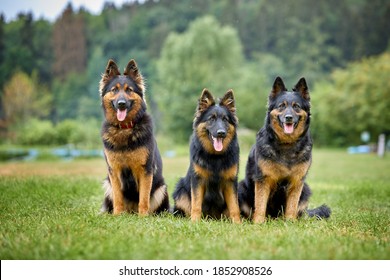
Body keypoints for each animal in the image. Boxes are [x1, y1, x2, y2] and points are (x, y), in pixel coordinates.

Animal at [99, 59, 169, 215]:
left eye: (129, 90)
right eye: (114, 90)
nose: (121, 104)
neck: (125, 128)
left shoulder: (145, 171)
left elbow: (143, 197)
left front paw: (143, 216)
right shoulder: (114, 171)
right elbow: (118, 197)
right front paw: (117, 215)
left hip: (161, 188)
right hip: (107, 184)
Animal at [173, 89, 241, 223]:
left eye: (225, 119)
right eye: (211, 119)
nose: (221, 133)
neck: (215, 157)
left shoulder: (230, 182)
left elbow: (234, 207)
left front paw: (238, 223)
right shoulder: (198, 180)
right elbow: (196, 205)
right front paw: (194, 222)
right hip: (180, 189)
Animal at [236, 76, 330, 223]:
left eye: (296, 106)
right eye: (282, 106)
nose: (288, 118)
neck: (287, 144)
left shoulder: (297, 182)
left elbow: (292, 205)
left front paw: (290, 222)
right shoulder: (263, 180)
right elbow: (260, 204)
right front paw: (258, 223)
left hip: (306, 189)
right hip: (241, 187)